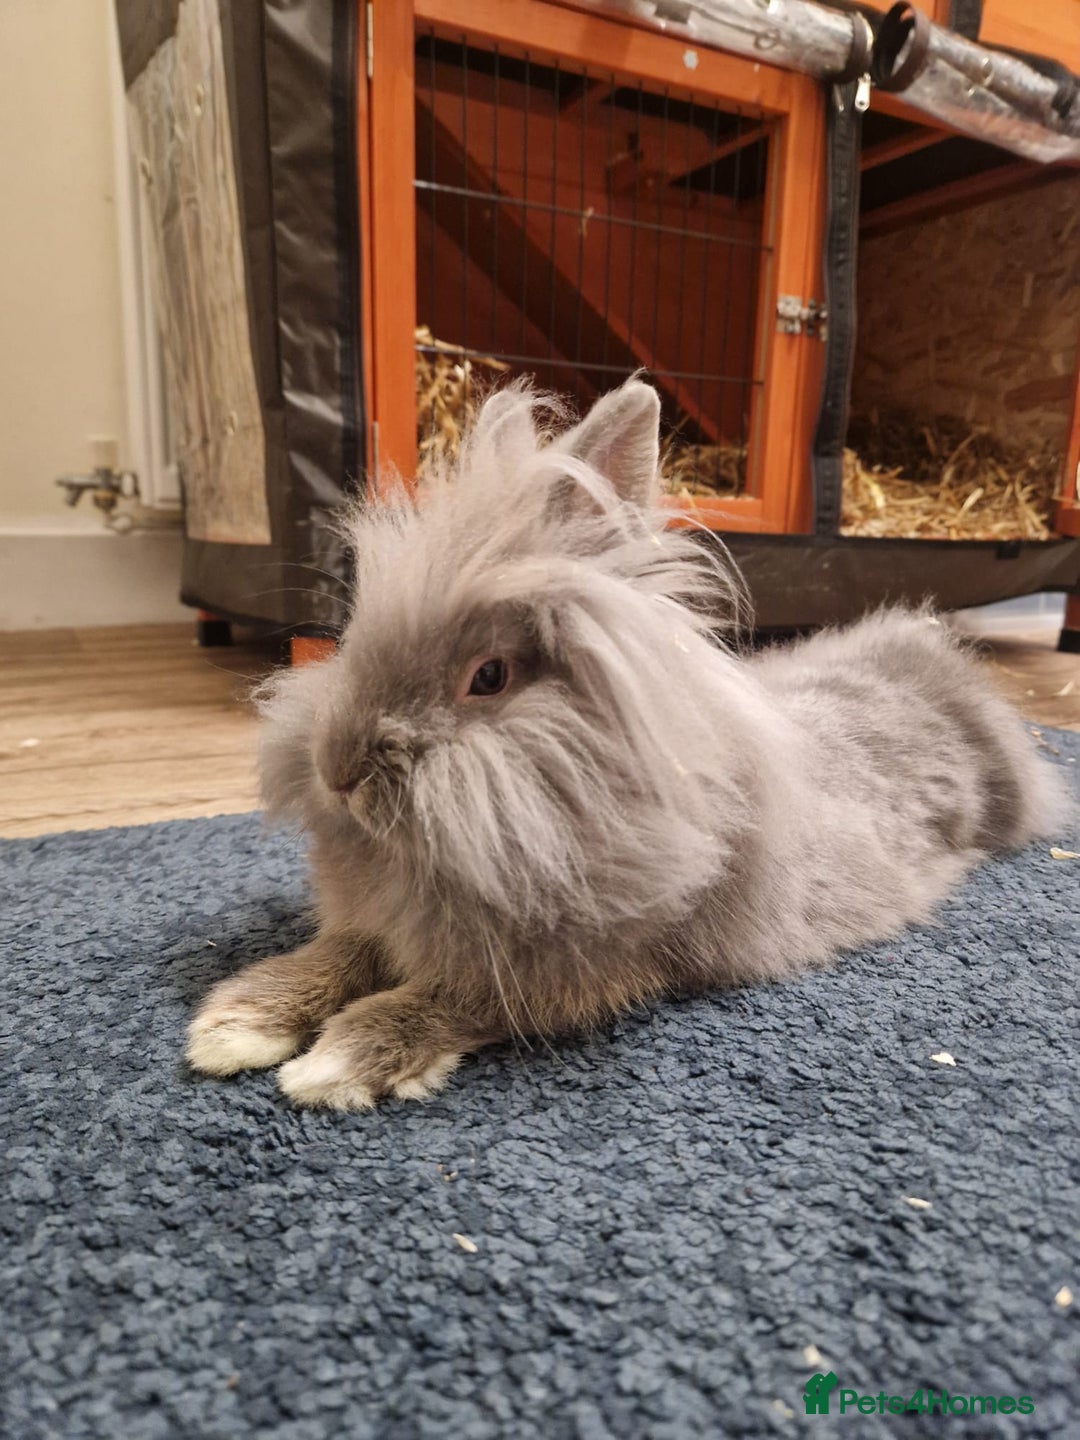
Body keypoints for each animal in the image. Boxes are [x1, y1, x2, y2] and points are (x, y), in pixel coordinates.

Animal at [186, 378, 1070, 1110]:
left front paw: (337, 1064)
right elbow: (334, 955)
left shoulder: (579, 970)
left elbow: (451, 998)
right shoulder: (377, 925)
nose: (336, 771)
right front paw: (234, 1024)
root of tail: (924, 655)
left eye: (489, 676)